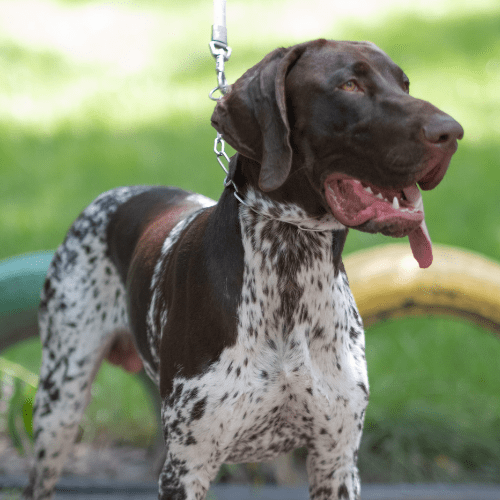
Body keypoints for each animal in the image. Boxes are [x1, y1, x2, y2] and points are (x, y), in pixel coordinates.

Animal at [27, 40, 462, 500]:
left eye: (405, 83)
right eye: (349, 84)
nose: (452, 132)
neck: (289, 261)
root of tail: (117, 194)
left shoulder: (337, 461)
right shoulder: (188, 467)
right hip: (60, 406)